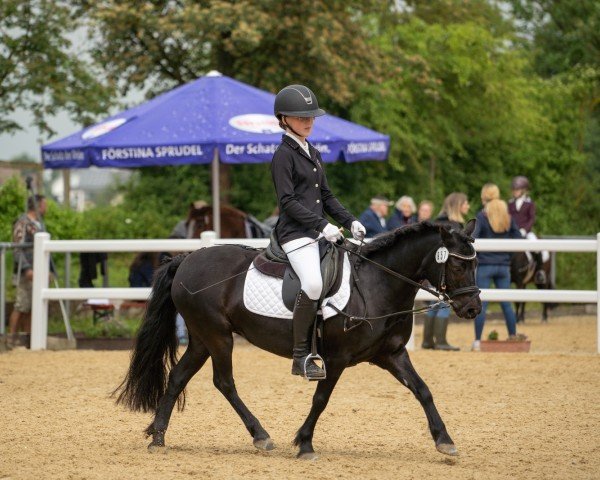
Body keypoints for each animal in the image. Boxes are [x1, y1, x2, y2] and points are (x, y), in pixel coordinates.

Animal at [115, 219, 480, 460]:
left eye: (475, 263)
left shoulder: (391, 355)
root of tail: (186, 259)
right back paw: (261, 436)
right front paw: (304, 443)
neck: (377, 284)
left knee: (178, 377)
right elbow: (321, 399)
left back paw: (158, 436)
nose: (472, 308)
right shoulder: (336, 359)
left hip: (202, 339)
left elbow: (423, 390)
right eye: (457, 267)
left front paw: (444, 440)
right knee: (224, 382)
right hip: (218, 336)